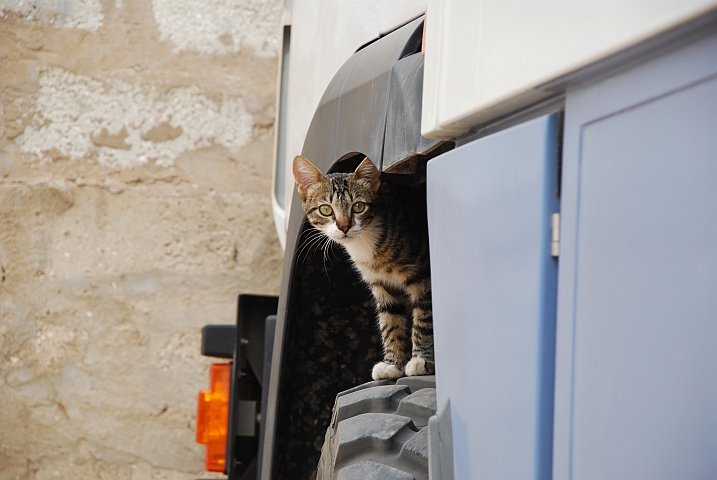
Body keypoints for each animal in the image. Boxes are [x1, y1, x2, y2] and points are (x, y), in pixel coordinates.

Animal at [290, 156, 430, 380]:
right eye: (325, 209)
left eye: (358, 207)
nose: (344, 227)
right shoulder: (381, 285)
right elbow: (390, 322)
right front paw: (392, 364)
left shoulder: (423, 277)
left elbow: (424, 318)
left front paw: (422, 360)